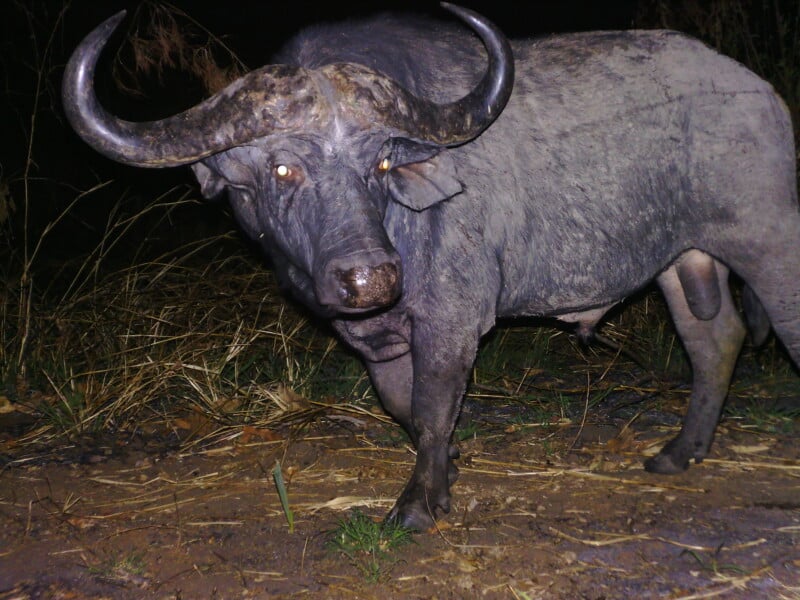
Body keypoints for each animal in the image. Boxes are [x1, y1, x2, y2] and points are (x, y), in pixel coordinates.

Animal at [63, 4, 799, 531]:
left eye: (381, 163)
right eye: (283, 169)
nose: (371, 279)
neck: (396, 228)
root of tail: (760, 93)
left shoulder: (451, 321)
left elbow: (436, 403)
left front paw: (419, 504)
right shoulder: (375, 339)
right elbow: (407, 409)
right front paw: (443, 473)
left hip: (769, 243)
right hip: (683, 262)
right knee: (716, 340)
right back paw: (680, 452)